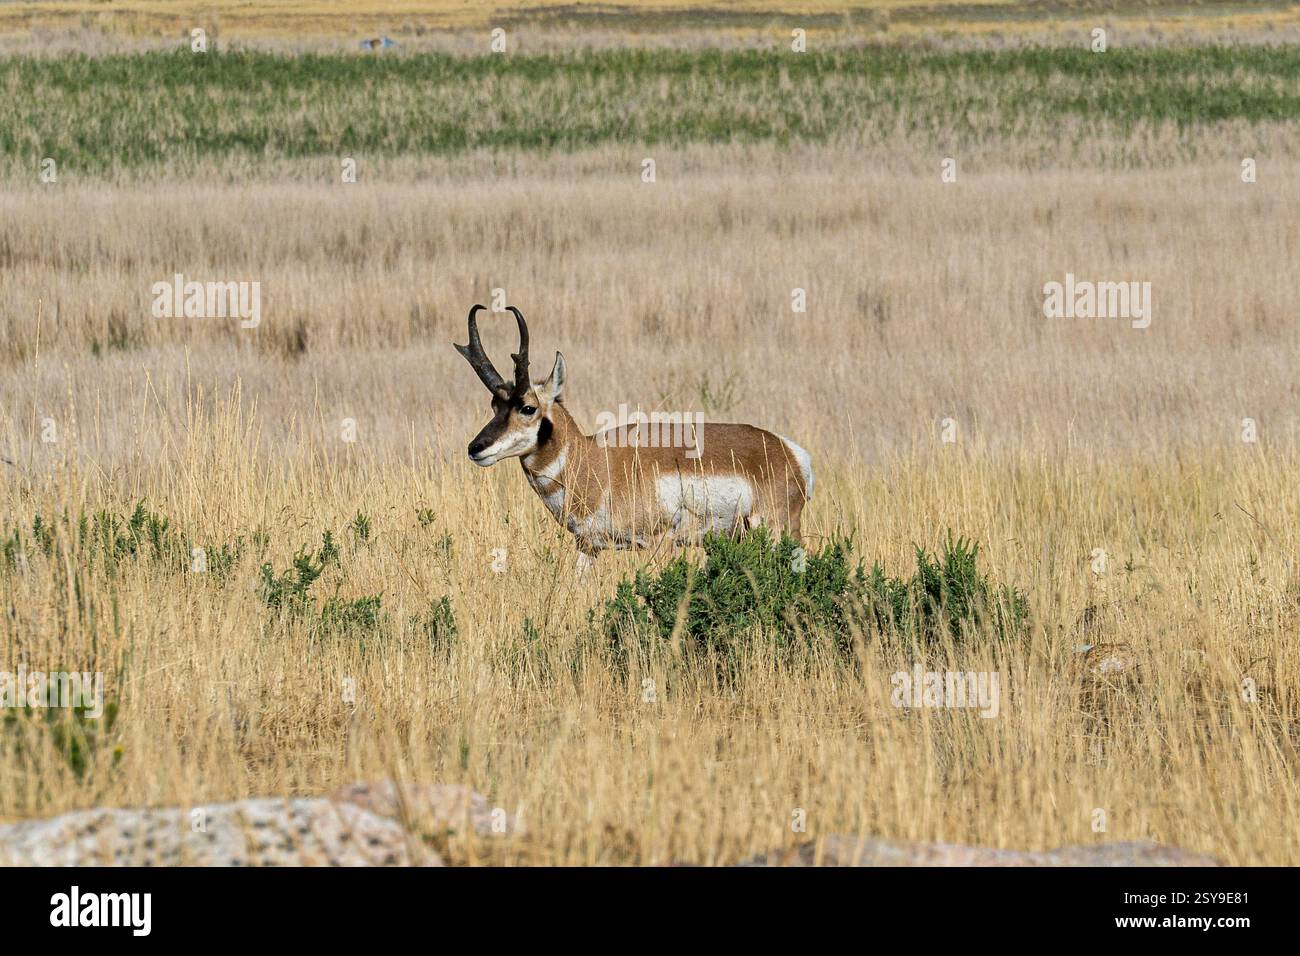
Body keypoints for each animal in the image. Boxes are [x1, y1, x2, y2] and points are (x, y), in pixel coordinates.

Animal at [454, 305, 813, 570]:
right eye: (494, 405)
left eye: (527, 407)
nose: (476, 448)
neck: (594, 460)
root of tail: (788, 450)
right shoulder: (588, 546)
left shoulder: (659, 544)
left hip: (779, 530)